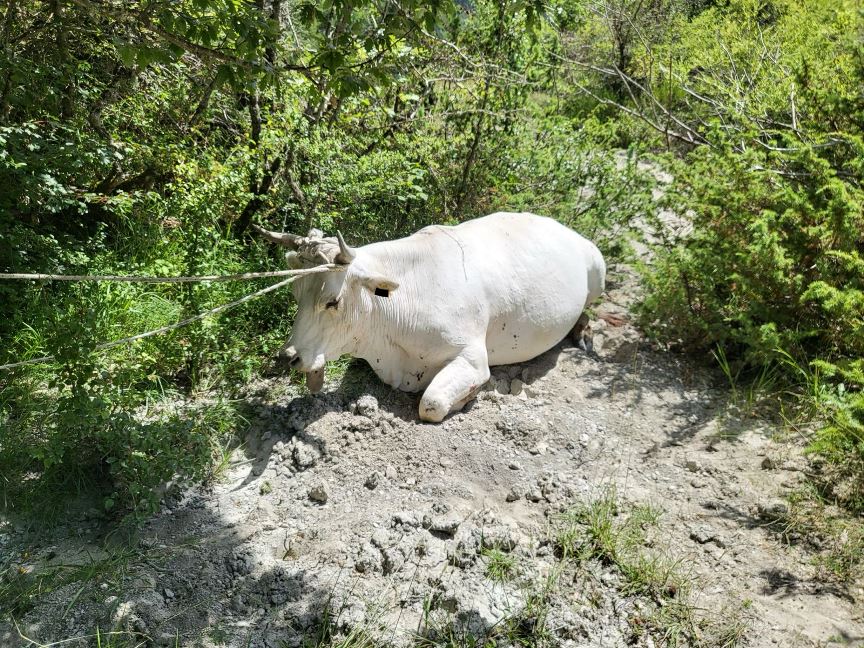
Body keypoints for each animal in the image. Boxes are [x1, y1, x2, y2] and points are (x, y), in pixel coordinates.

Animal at [255, 213, 608, 422]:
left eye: (332, 301)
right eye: (296, 294)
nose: (288, 356)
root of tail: (564, 228)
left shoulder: (473, 359)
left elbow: (432, 403)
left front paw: (469, 396)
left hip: (598, 271)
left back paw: (584, 334)